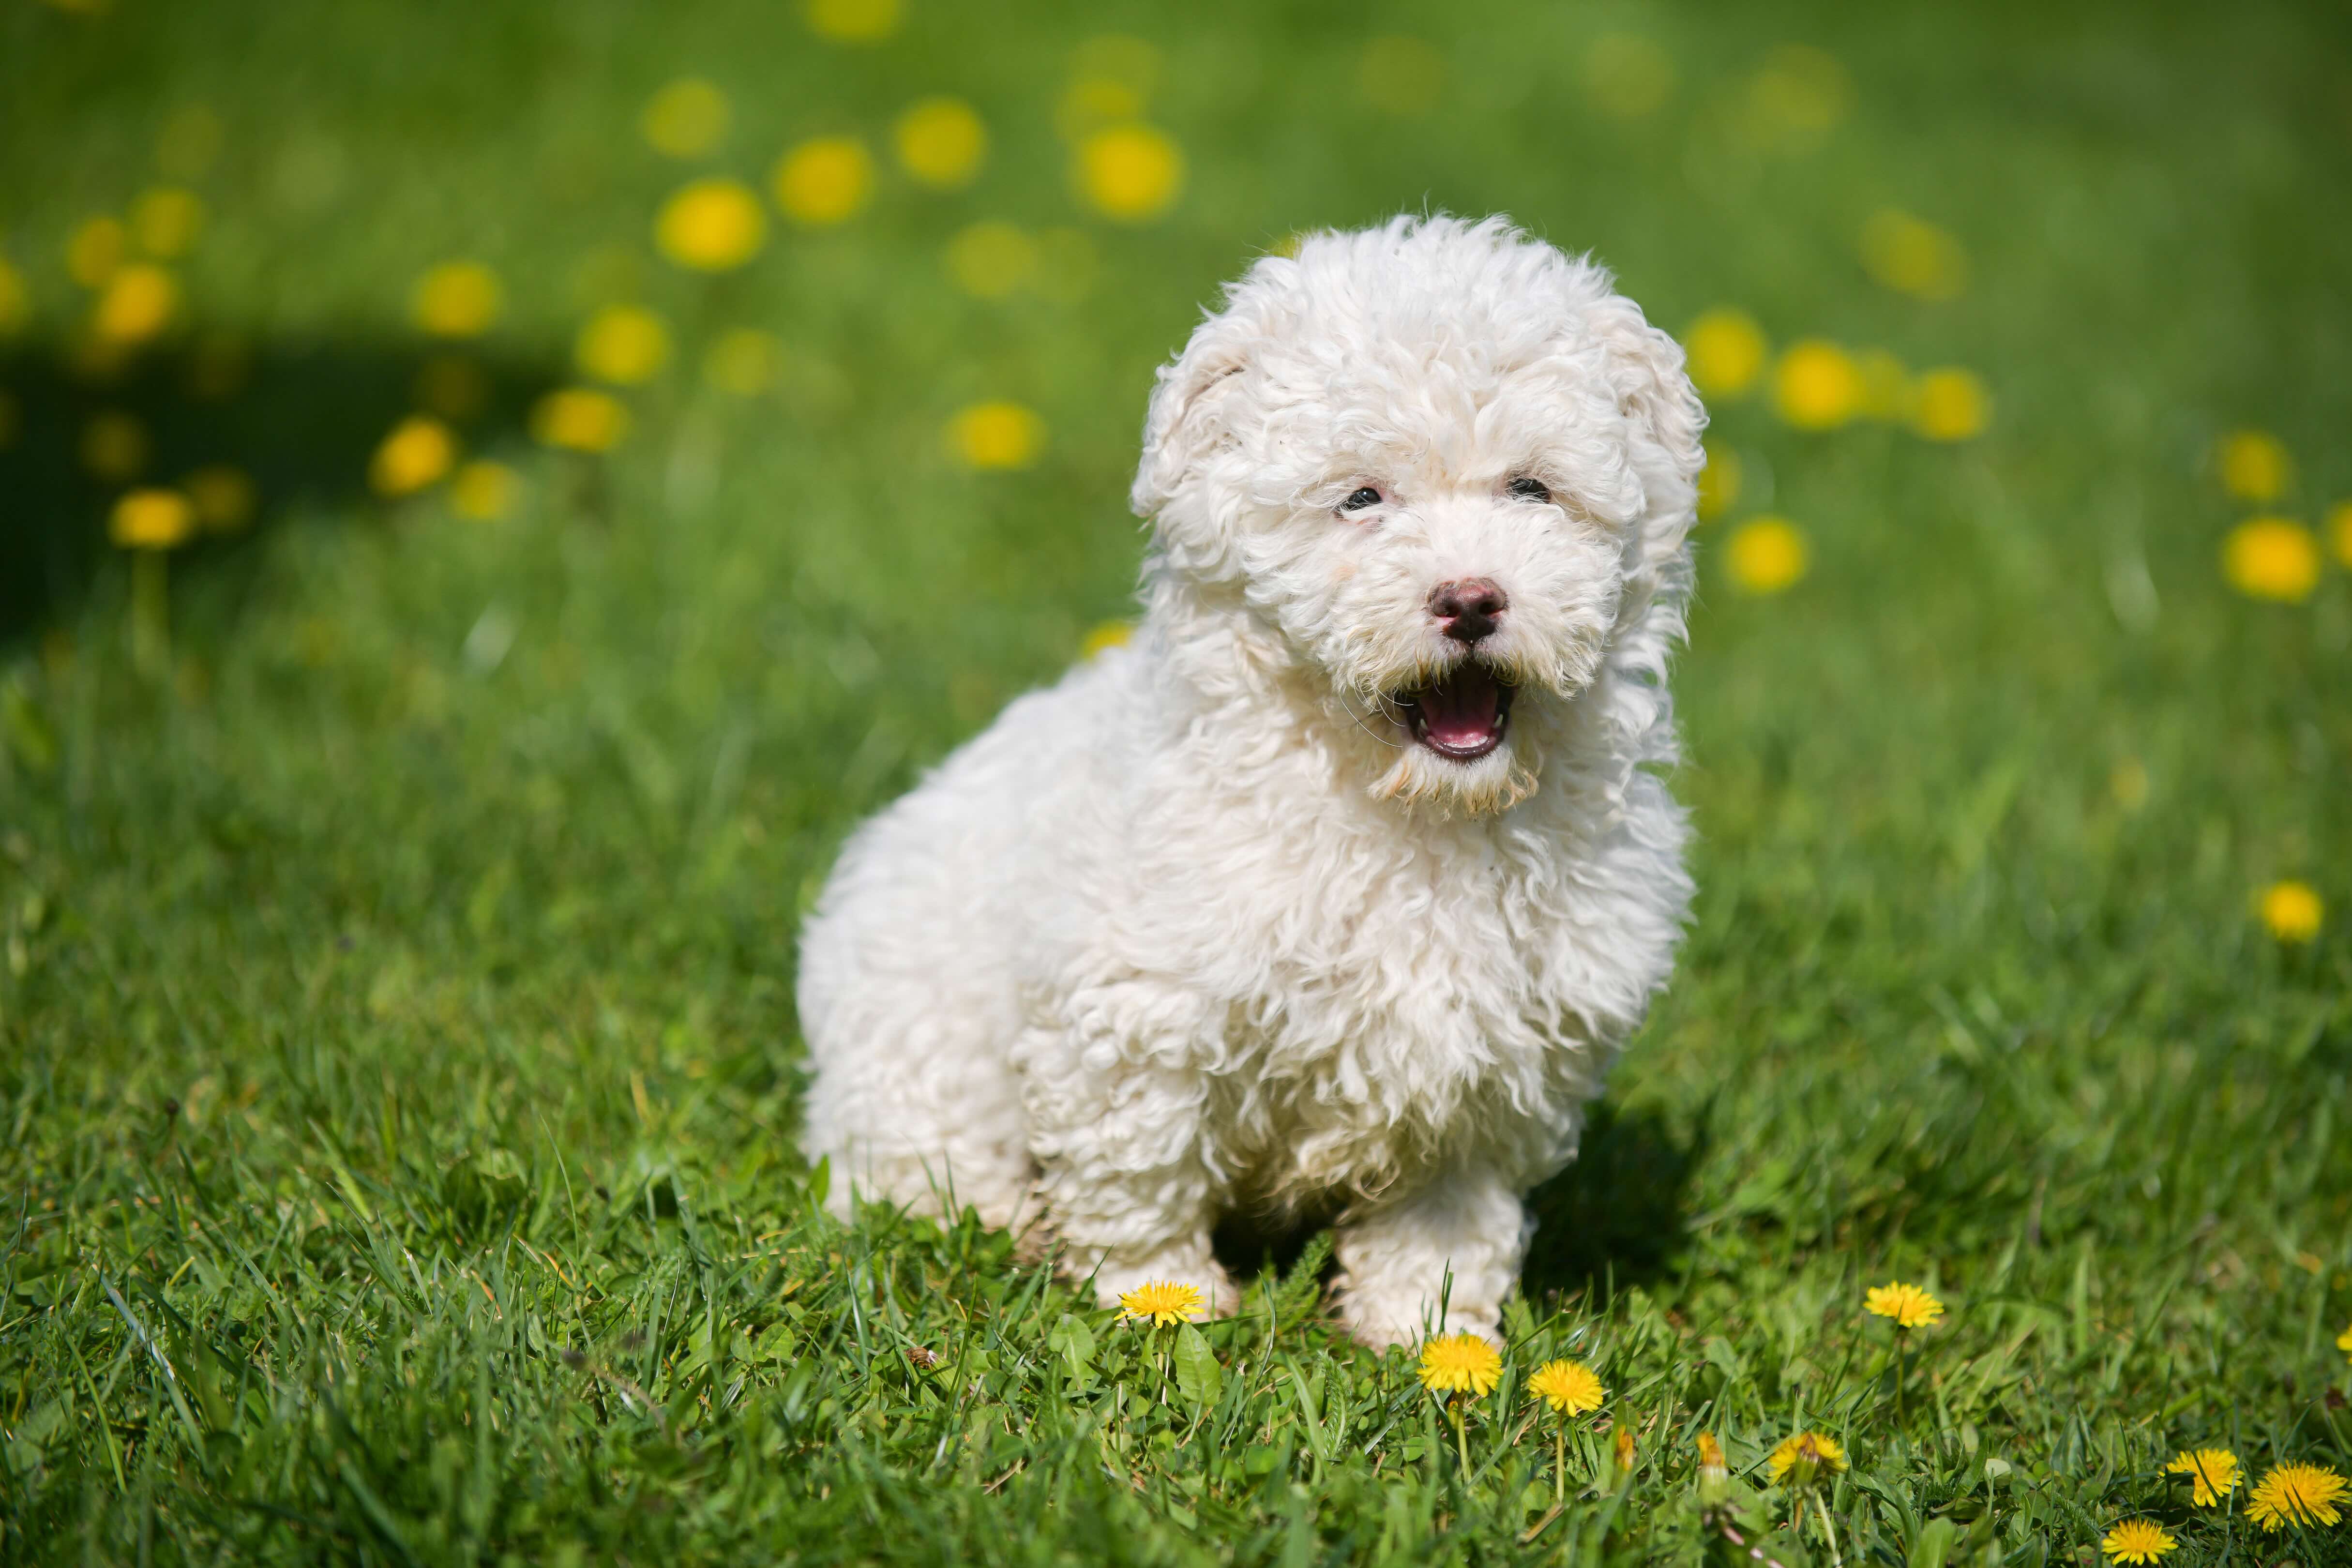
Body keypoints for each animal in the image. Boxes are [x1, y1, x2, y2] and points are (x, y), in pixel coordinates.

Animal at [799, 211, 1703, 1354]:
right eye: (1360, 499)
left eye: (1532, 489)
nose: (1470, 599)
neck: (1414, 812)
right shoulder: (1140, 1013)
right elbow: (1140, 1170)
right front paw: (1161, 1300)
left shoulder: (1498, 1063)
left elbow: (1448, 1212)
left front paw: (1430, 1334)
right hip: (911, 1046)